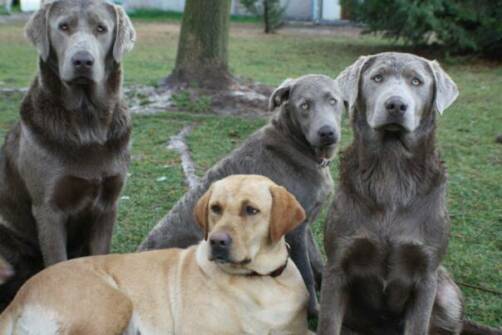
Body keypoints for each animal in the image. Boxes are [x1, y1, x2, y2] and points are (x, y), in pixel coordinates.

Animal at [0, 0, 135, 312]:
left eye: (101, 28)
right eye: (63, 27)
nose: (82, 60)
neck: (87, 125)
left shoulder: (108, 205)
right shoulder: (48, 210)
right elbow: (56, 264)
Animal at [0, 176, 314, 335]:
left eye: (251, 210)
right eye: (215, 208)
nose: (217, 242)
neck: (257, 280)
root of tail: (19, 295)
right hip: (113, 302)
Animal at [141, 74, 346, 318]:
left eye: (333, 100)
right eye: (304, 105)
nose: (327, 132)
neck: (298, 146)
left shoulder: (304, 223)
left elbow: (317, 262)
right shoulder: (294, 231)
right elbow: (305, 272)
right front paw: (314, 310)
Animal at [320, 52, 500, 335]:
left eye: (417, 81)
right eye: (377, 77)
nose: (396, 105)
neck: (391, 170)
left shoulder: (426, 275)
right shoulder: (337, 266)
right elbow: (328, 324)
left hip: (447, 293)